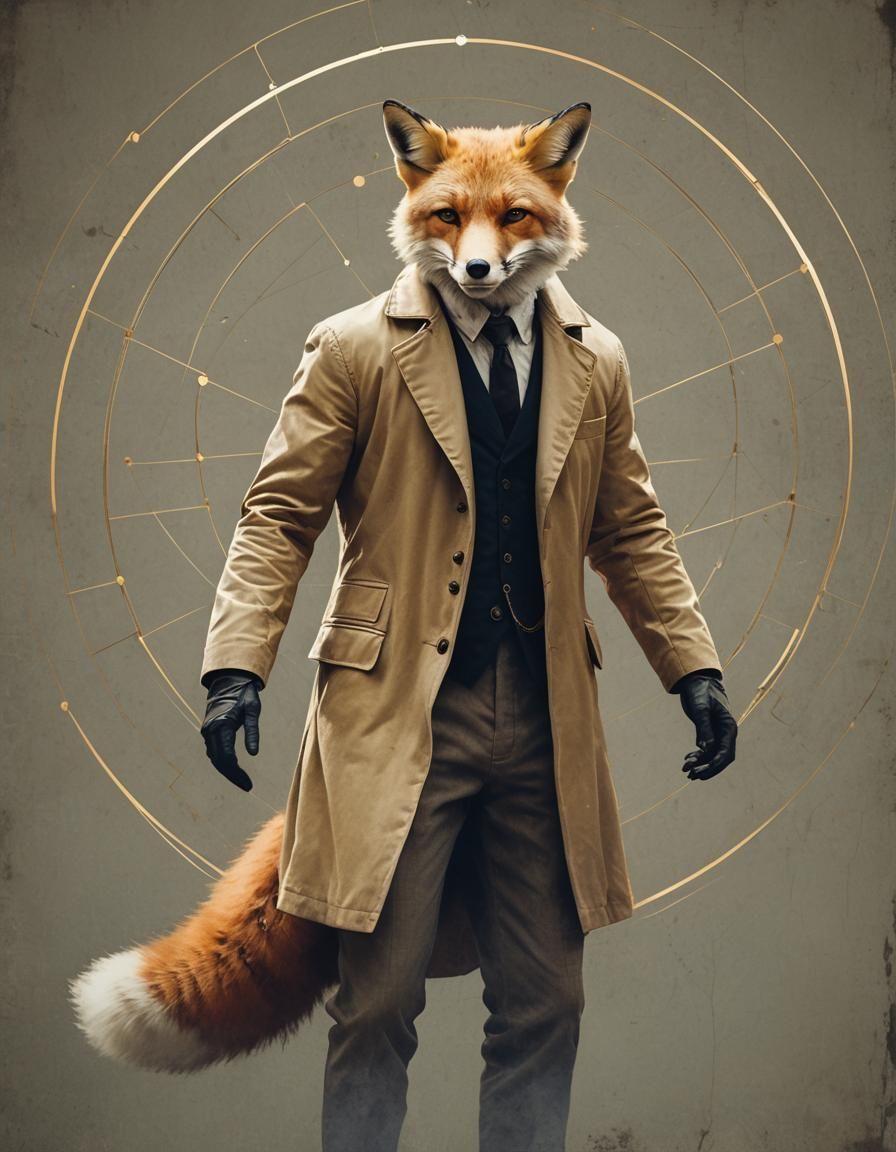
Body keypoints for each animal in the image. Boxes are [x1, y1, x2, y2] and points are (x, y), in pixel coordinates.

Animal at [69, 97, 594, 1073]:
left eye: (514, 216)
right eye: (446, 215)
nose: (475, 270)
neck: (490, 339)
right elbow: (279, 514)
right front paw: (229, 701)